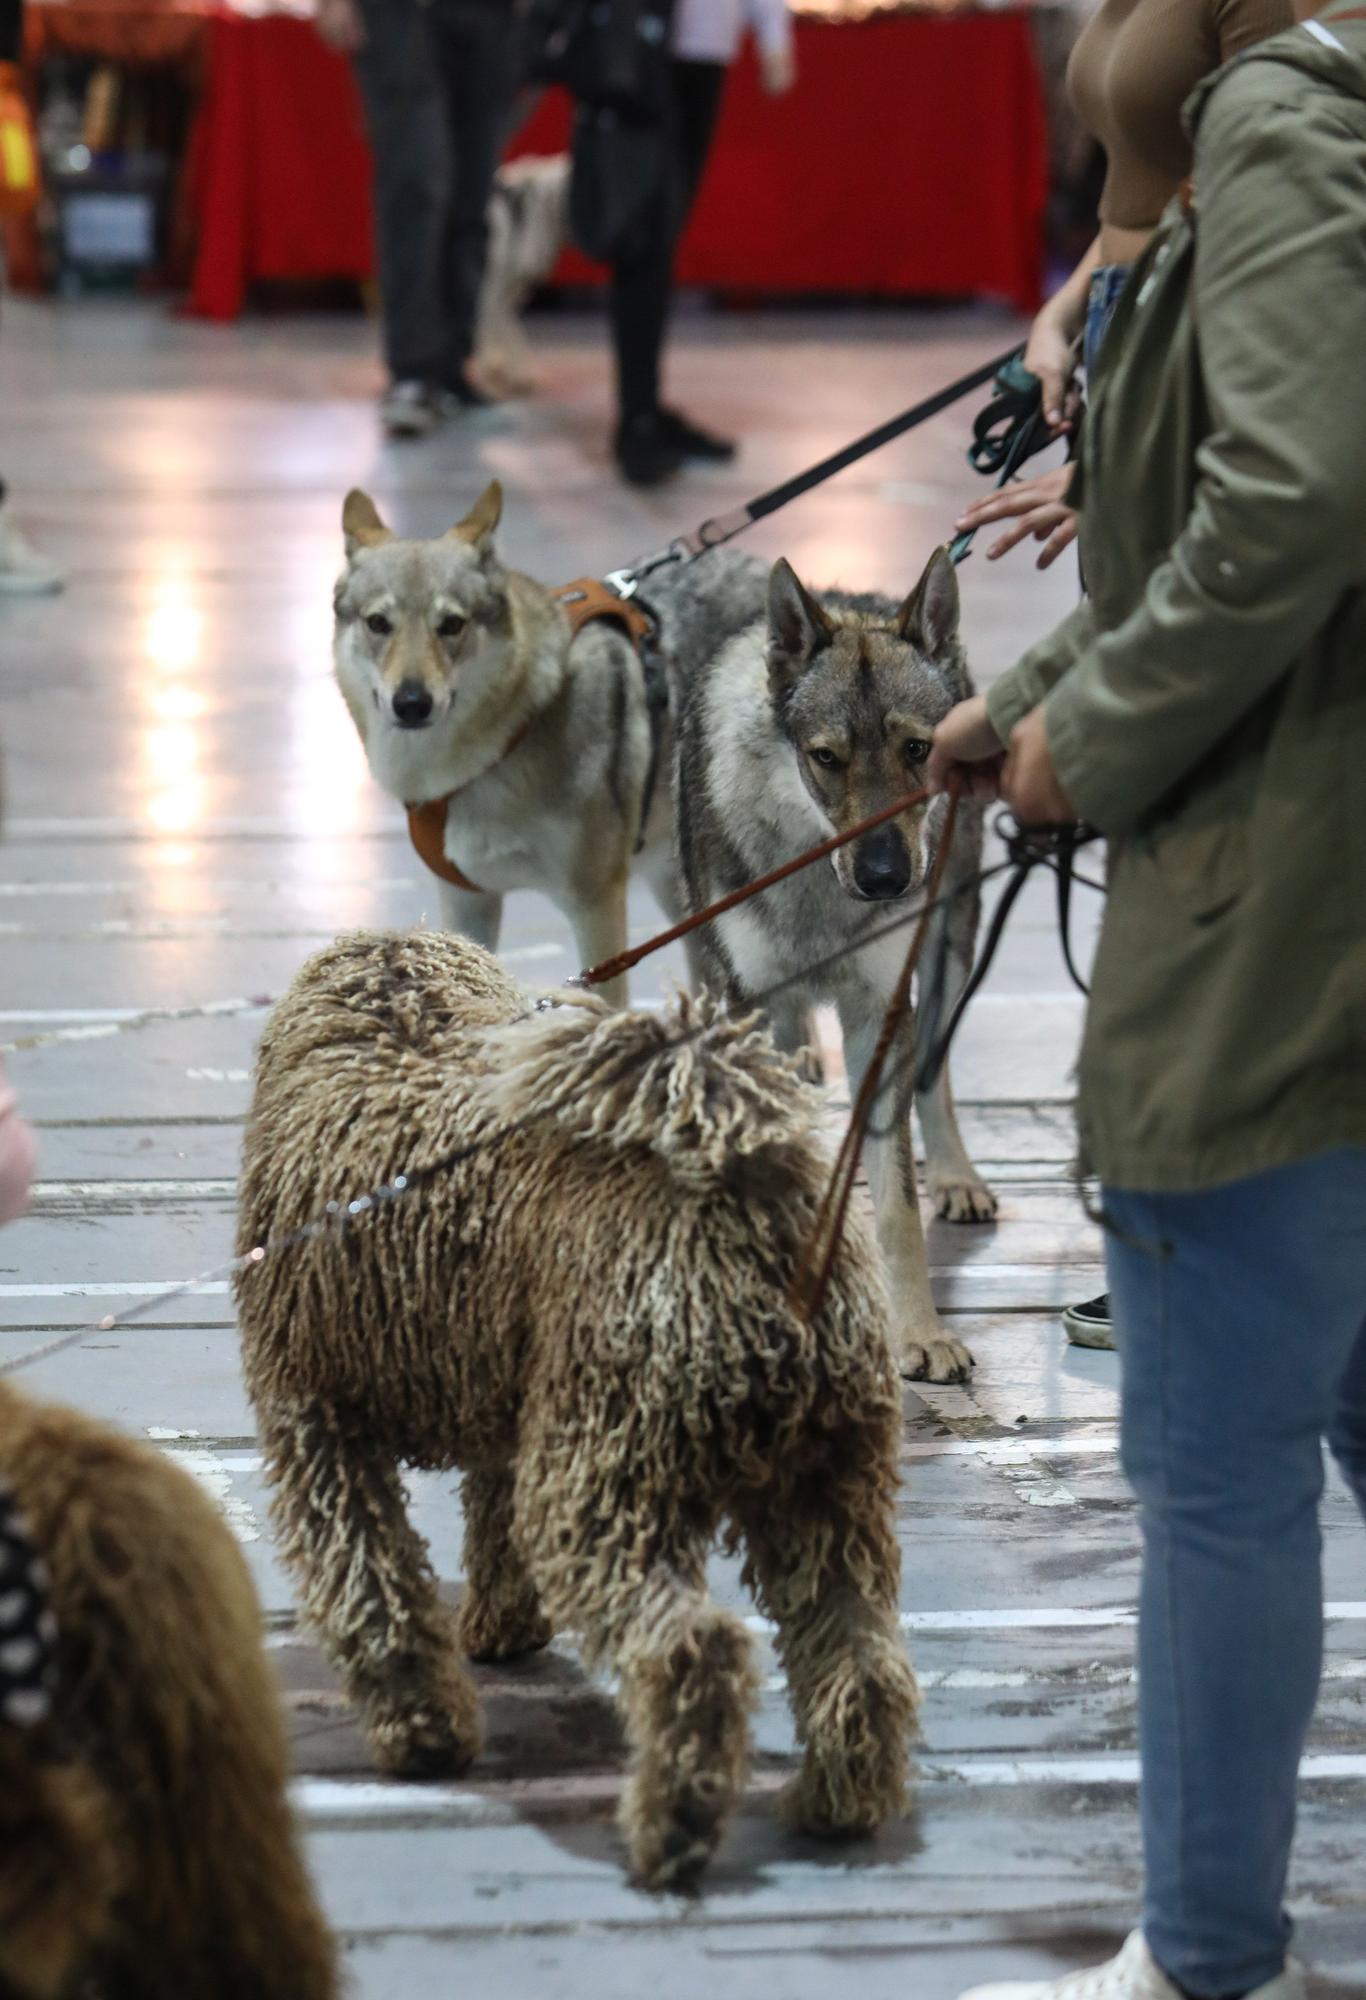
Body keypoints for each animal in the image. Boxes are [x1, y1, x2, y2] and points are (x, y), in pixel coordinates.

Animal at [238, 928, 920, 1880]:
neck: (394, 1028)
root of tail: (745, 1200)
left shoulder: (314, 1425)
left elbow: (373, 1591)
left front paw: (424, 1732)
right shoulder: (508, 1402)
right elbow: (487, 1529)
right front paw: (498, 1627)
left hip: (603, 1479)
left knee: (692, 1651)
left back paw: (672, 1824)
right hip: (827, 1484)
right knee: (860, 1654)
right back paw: (837, 1802)